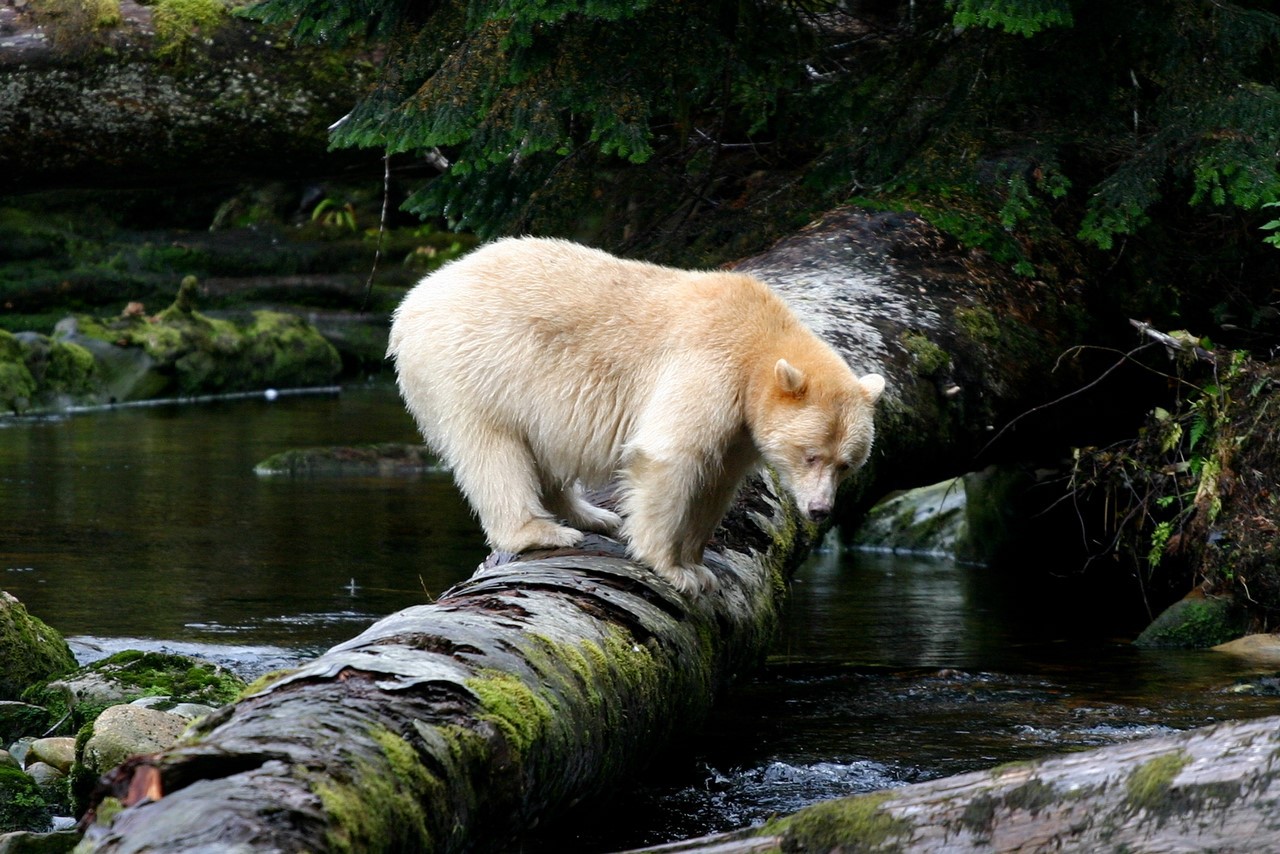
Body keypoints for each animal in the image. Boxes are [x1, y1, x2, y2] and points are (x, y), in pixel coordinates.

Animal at [389, 234, 885, 594]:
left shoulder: (740, 426)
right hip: (474, 364)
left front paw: (698, 565)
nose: (820, 510)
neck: (758, 339)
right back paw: (540, 532)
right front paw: (673, 569)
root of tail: (413, 302)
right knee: (491, 449)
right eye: (810, 454)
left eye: (846, 464)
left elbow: (716, 481)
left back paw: (589, 514)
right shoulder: (708, 365)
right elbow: (670, 456)